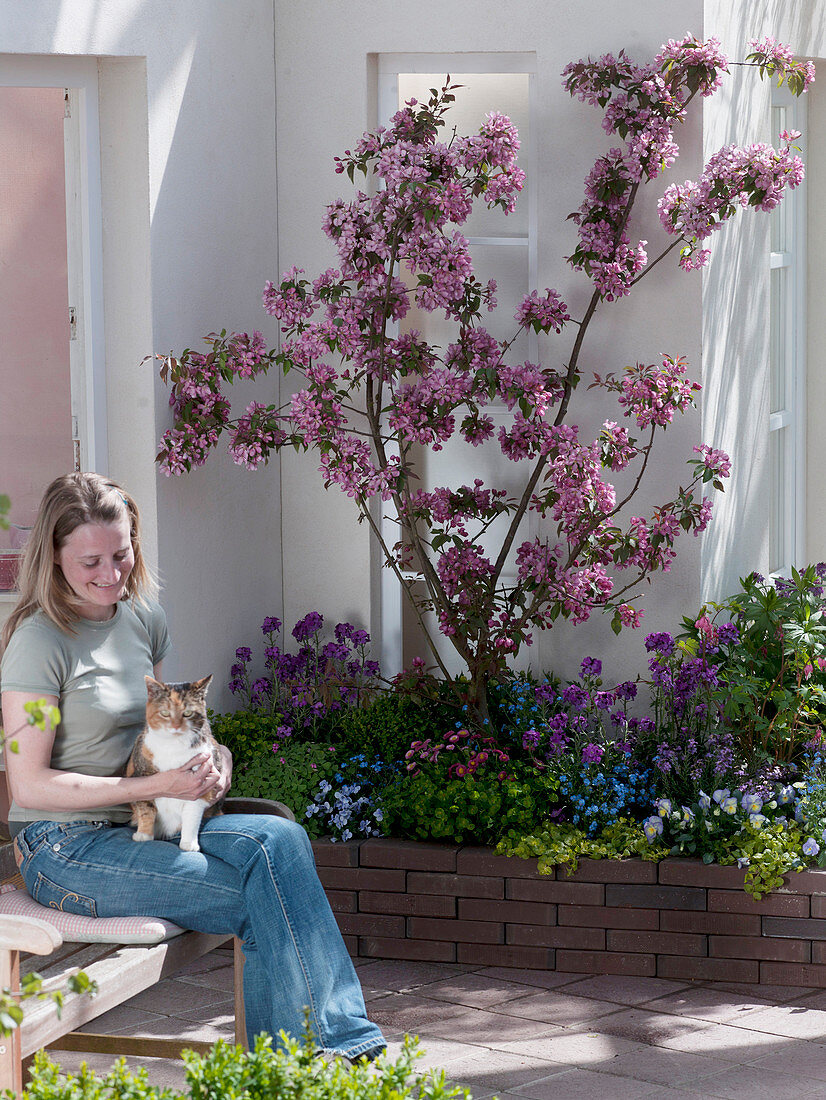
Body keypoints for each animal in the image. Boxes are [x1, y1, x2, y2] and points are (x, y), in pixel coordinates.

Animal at [127, 673, 224, 853]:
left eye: (188, 713)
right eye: (165, 712)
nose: (176, 726)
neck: (173, 745)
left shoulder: (201, 786)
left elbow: (192, 815)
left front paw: (189, 844)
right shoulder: (139, 775)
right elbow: (146, 809)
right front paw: (143, 835)